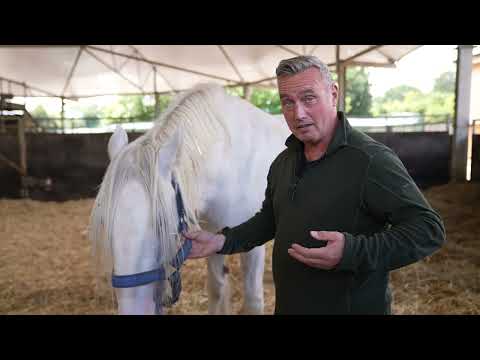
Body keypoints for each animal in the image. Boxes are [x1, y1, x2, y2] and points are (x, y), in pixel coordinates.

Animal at [88, 83, 290, 314]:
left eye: (161, 224)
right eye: (104, 224)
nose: (134, 310)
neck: (227, 162)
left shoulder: (254, 247)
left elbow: (253, 300)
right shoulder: (215, 233)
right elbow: (217, 289)